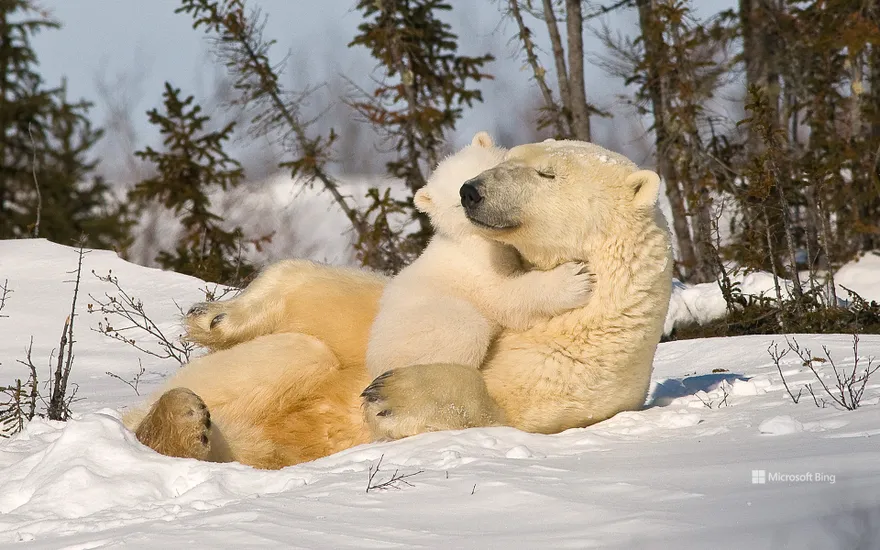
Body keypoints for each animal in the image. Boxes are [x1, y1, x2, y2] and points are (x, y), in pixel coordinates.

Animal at [125, 139, 672, 470]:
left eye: (546, 173)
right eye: (509, 158)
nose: (473, 191)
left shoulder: (581, 366)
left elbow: (505, 405)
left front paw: (393, 393)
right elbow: (345, 310)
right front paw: (216, 316)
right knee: (297, 353)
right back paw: (183, 408)